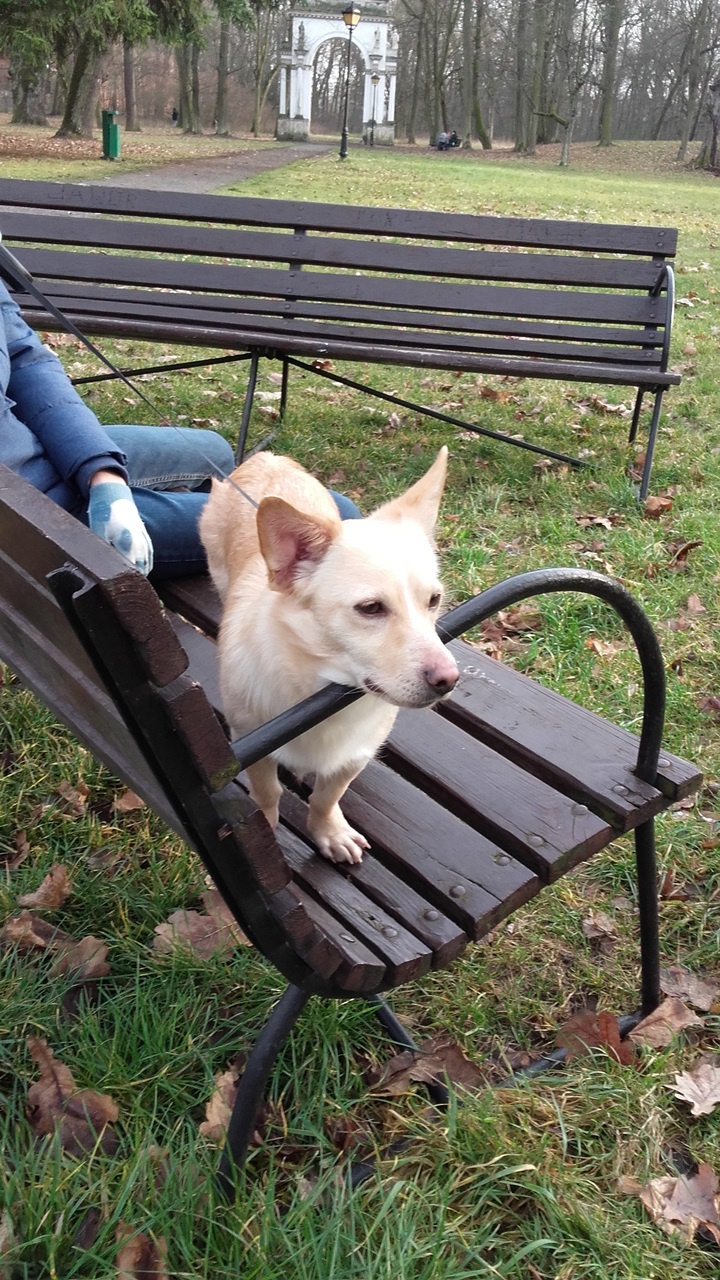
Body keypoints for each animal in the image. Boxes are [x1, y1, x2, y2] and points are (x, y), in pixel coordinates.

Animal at [199, 447, 459, 864]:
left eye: (434, 600)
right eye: (370, 608)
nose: (449, 680)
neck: (324, 694)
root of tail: (267, 457)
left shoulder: (355, 754)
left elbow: (326, 796)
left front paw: (329, 832)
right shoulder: (251, 745)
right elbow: (267, 793)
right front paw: (266, 831)